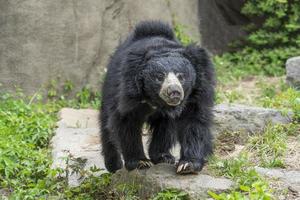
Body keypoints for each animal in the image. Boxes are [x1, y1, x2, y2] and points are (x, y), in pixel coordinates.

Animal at [101, 20, 216, 173]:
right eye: (160, 77)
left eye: (181, 76)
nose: (174, 92)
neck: (156, 101)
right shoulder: (129, 92)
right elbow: (126, 121)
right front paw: (140, 162)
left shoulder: (196, 93)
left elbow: (194, 121)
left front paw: (188, 164)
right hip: (110, 86)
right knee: (105, 124)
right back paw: (113, 164)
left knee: (165, 127)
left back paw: (163, 156)